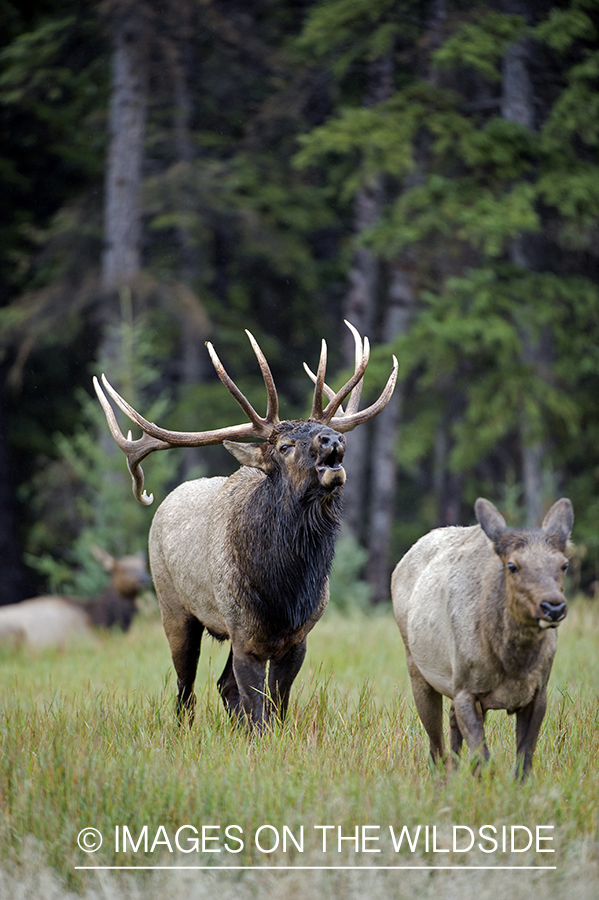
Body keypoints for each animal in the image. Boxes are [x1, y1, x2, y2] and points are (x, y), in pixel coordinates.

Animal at [95, 320, 398, 728]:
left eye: (321, 432)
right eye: (284, 446)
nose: (333, 438)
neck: (284, 589)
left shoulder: (298, 637)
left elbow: (276, 705)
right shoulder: (242, 631)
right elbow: (257, 708)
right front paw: (254, 735)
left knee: (223, 685)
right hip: (172, 606)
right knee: (185, 689)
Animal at [392, 496, 576, 776]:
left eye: (564, 564)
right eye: (512, 565)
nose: (553, 606)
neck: (514, 666)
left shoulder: (538, 692)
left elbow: (523, 761)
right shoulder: (466, 690)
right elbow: (483, 759)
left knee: (452, 729)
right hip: (418, 668)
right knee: (436, 745)